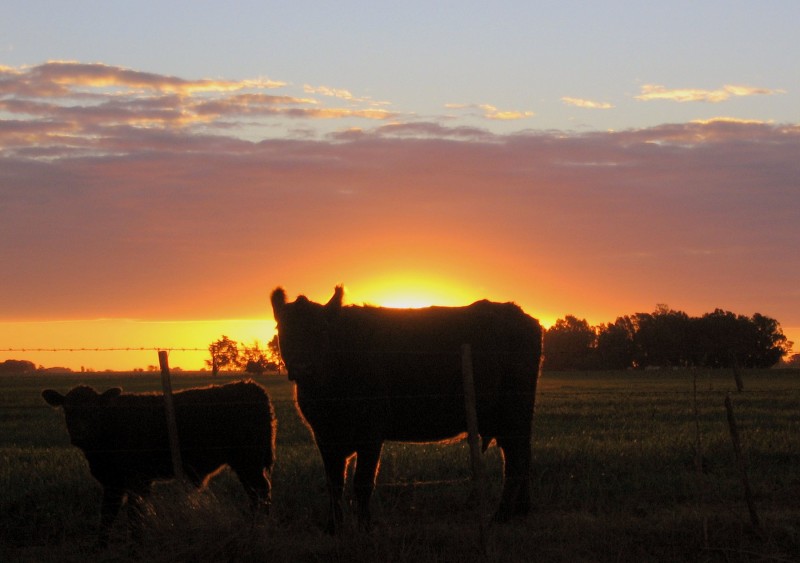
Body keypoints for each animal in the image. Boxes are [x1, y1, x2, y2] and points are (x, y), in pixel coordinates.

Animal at [43, 382, 276, 544]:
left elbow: (134, 514)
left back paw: (259, 527)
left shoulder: (137, 480)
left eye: (94, 410)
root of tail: (252, 387)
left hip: (249, 463)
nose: (80, 434)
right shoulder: (114, 483)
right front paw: (100, 546)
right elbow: (108, 514)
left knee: (259, 492)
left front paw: (136, 545)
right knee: (256, 494)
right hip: (248, 465)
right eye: (68, 410)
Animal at [270, 286, 544, 532]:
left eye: (322, 329)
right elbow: (334, 483)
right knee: (523, 455)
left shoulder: (371, 432)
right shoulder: (325, 436)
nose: (303, 367)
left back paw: (502, 515)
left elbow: (362, 482)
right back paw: (521, 509)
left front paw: (365, 527)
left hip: (513, 413)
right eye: (283, 329)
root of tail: (522, 316)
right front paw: (333, 526)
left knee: (516, 460)